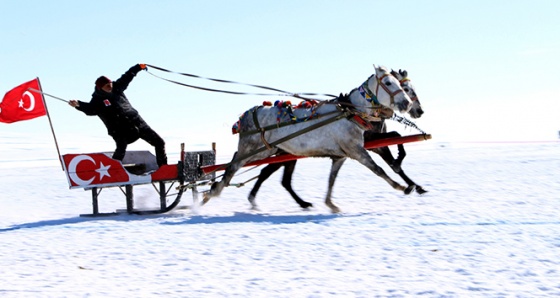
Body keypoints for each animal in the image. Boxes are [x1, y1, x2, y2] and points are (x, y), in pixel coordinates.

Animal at [203, 65, 414, 212]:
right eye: (389, 83)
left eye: (400, 83)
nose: (408, 104)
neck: (350, 113)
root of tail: (248, 114)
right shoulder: (357, 150)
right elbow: (378, 169)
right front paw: (402, 186)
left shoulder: (342, 155)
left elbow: (331, 180)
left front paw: (330, 204)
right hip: (254, 149)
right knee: (233, 165)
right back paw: (212, 192)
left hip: (267, 150)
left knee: (241, 164)